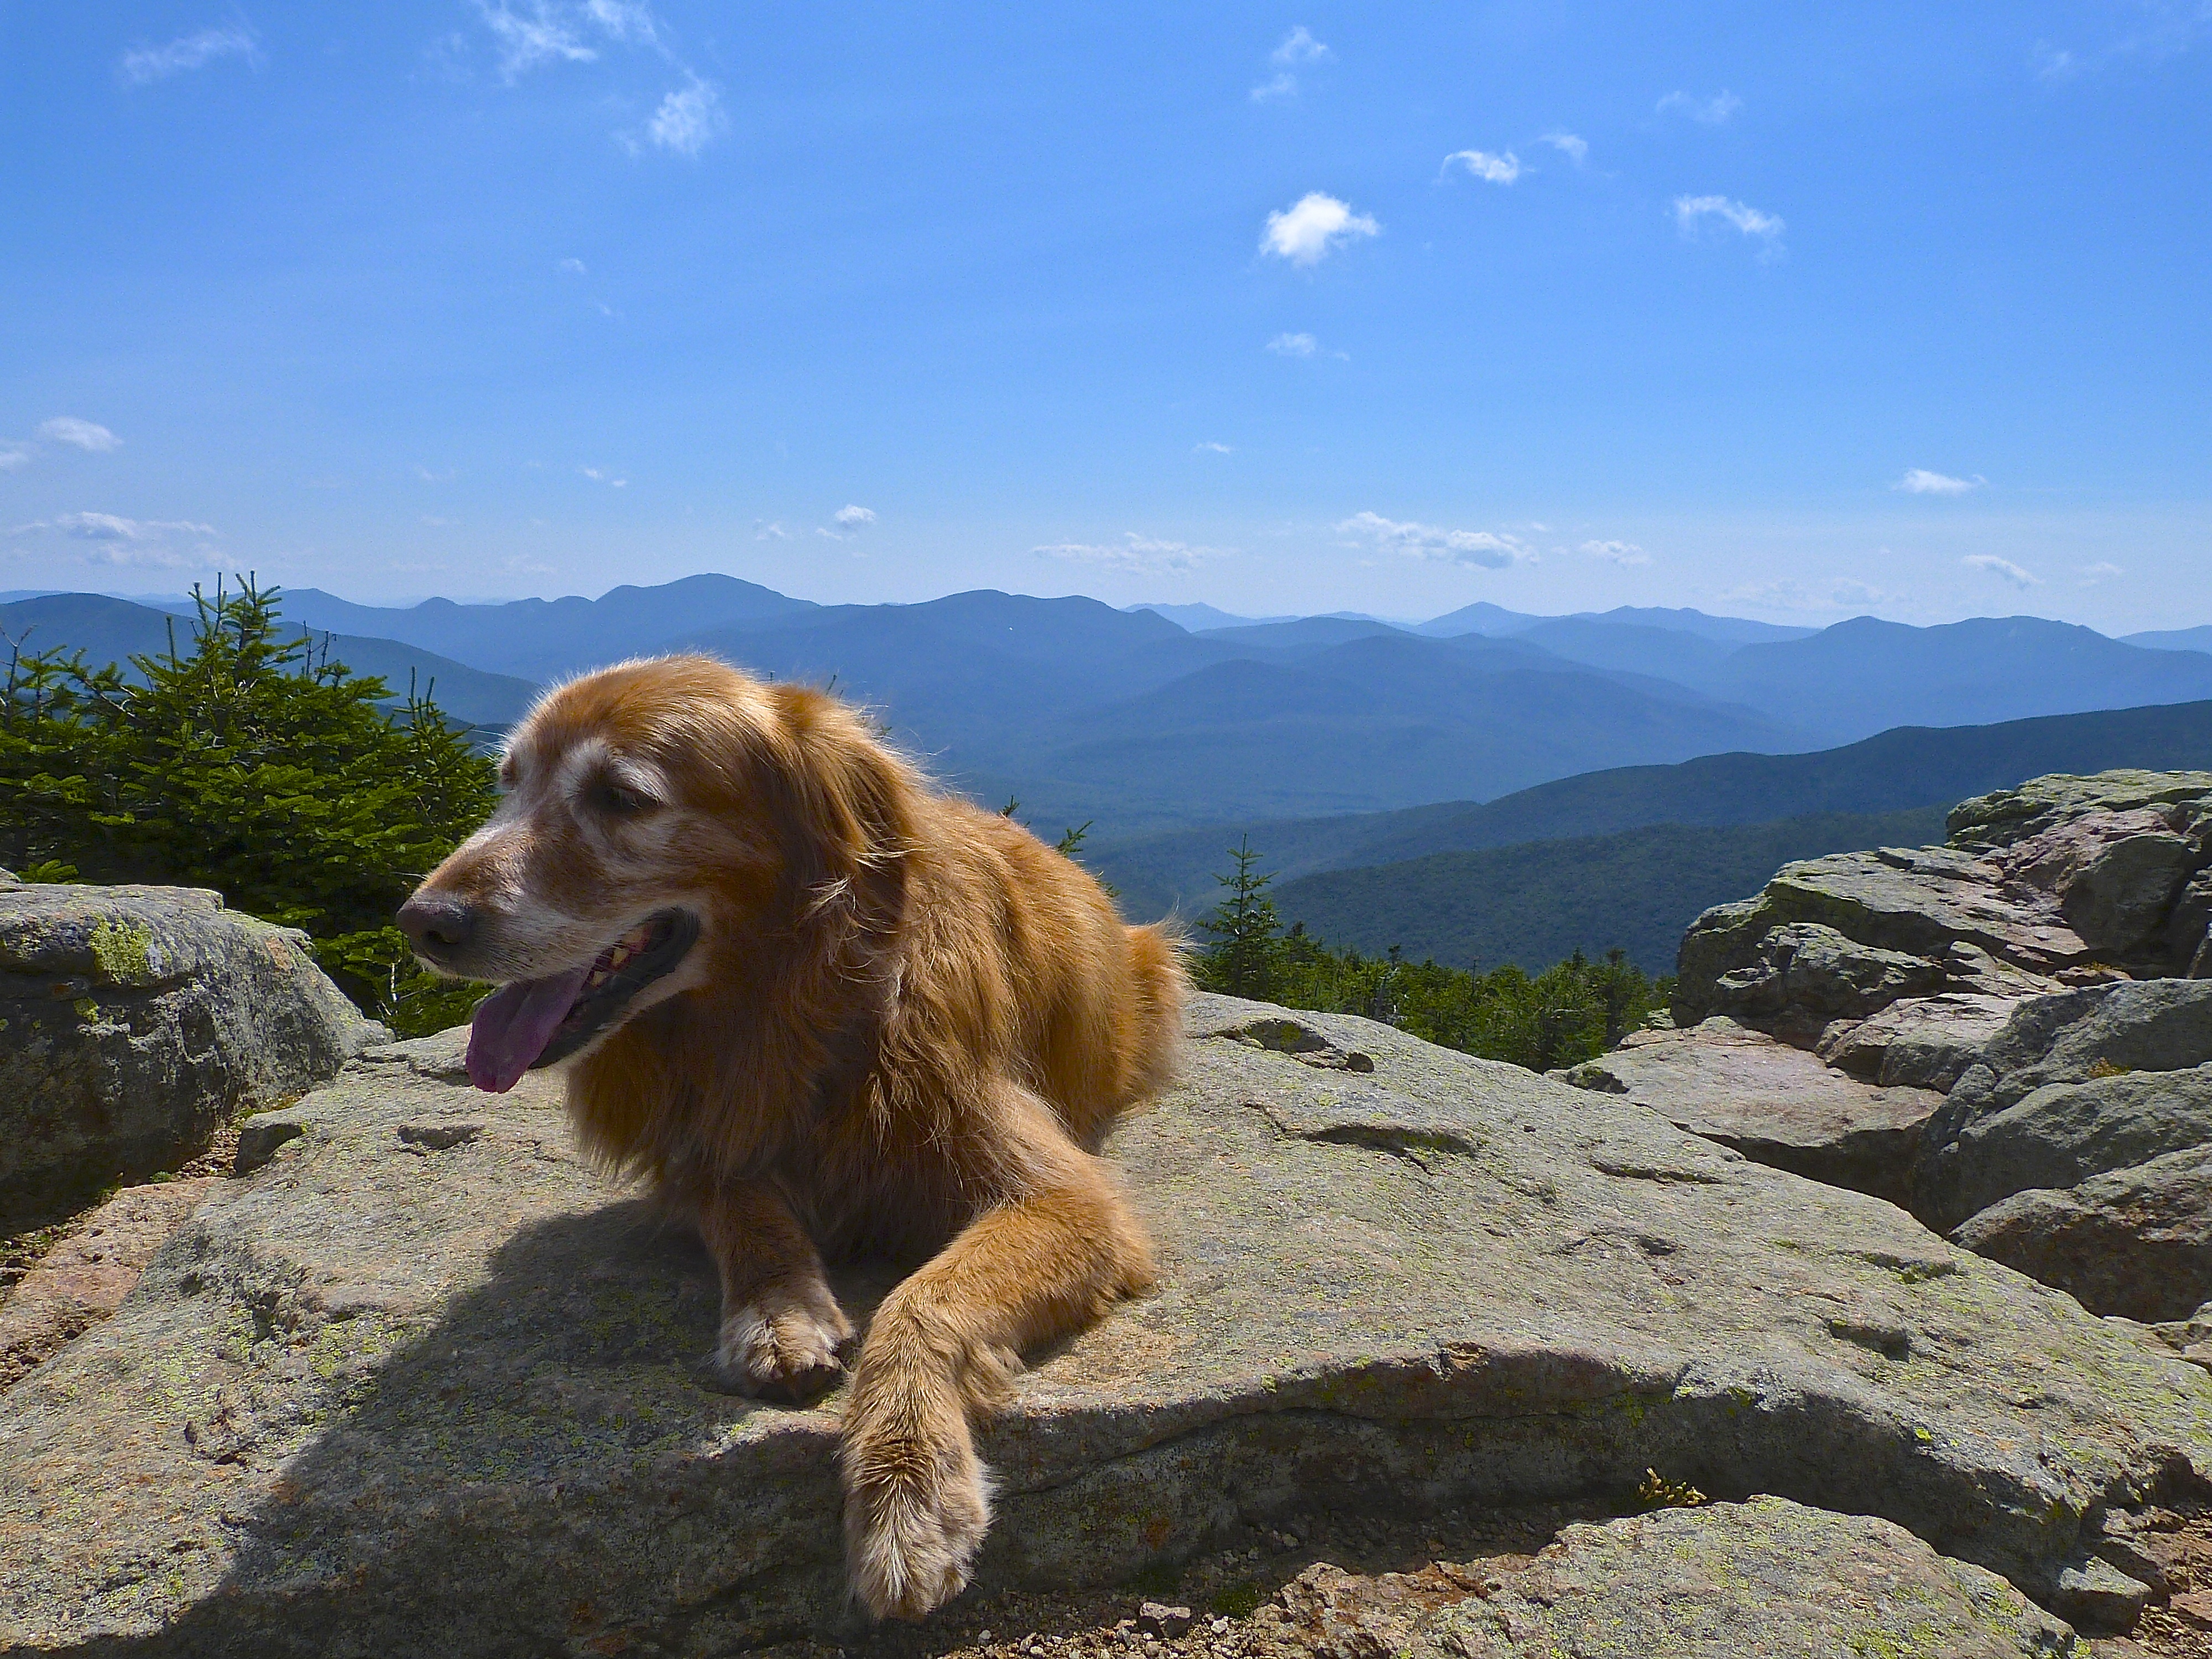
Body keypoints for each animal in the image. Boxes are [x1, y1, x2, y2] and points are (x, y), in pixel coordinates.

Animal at [398, 655, 1194, 1619]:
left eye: (622, 797)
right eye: (508, 781)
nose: (423, 921)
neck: (786, 1007)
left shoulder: (1067, 1199)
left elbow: (923, 1301)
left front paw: (907, 1490)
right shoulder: (697, 1142)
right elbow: (742, 1208)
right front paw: (777, 1310)